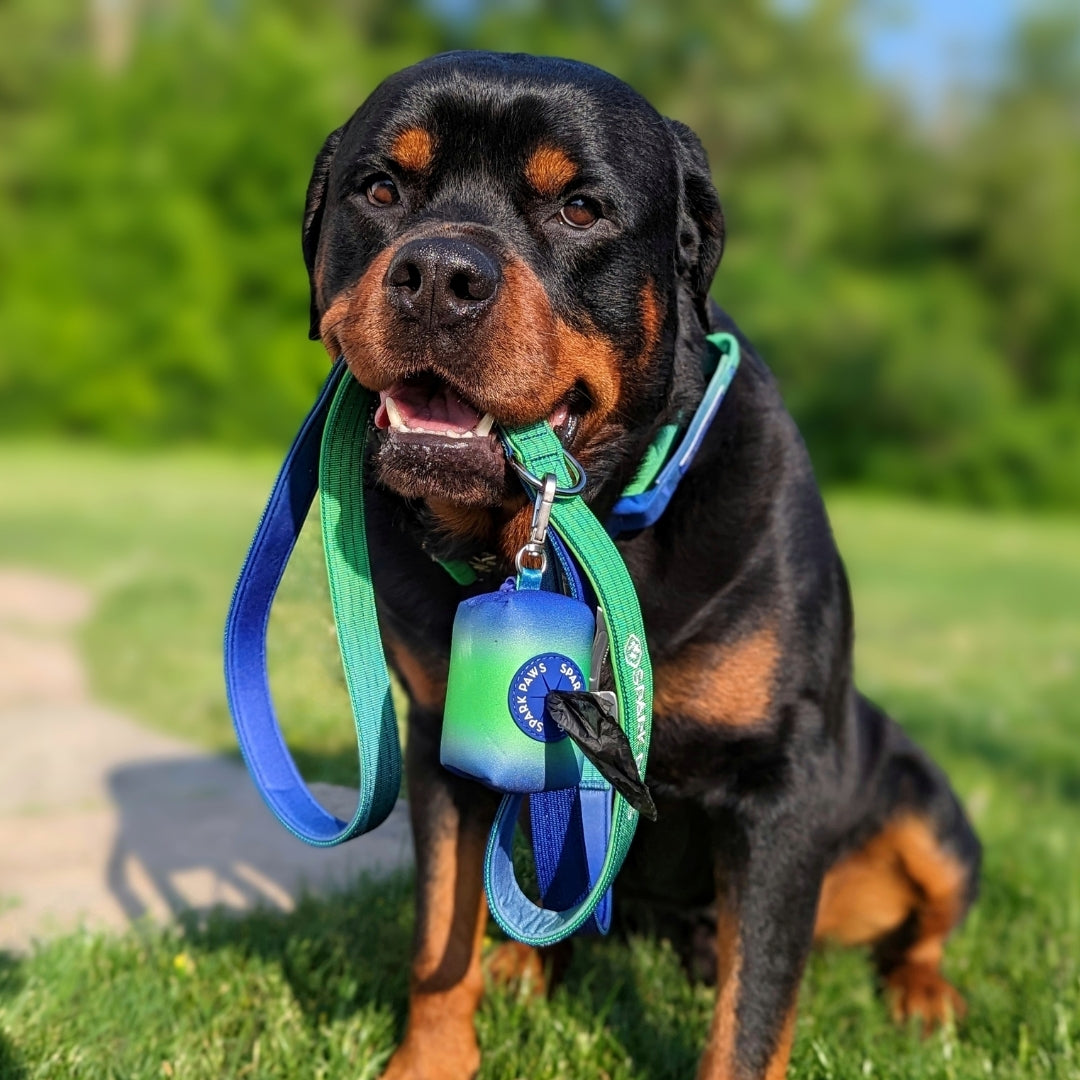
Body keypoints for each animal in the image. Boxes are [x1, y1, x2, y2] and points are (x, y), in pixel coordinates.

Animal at [300, 50, 984, 1080]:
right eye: (381, 190)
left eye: (581, 208)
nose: (436, 274)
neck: (574, 535)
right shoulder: (439, 742)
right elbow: (440, 939)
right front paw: (432, 1056)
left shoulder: (783, 787)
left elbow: (752, 1018)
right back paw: (527, 964)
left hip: (922, 804)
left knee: (928, 915)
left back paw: (925, 992)